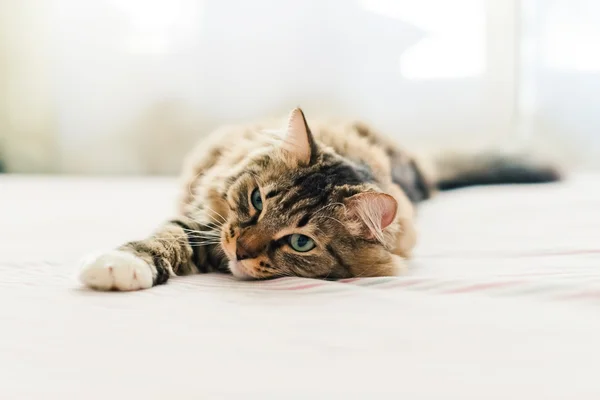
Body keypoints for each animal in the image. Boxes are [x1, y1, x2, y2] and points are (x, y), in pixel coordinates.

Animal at [77, 108, 560, 290]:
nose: (241, 250)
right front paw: (119, 265)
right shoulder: (204, 224)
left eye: (300, 242)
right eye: (256, 201)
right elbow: (164, 239)